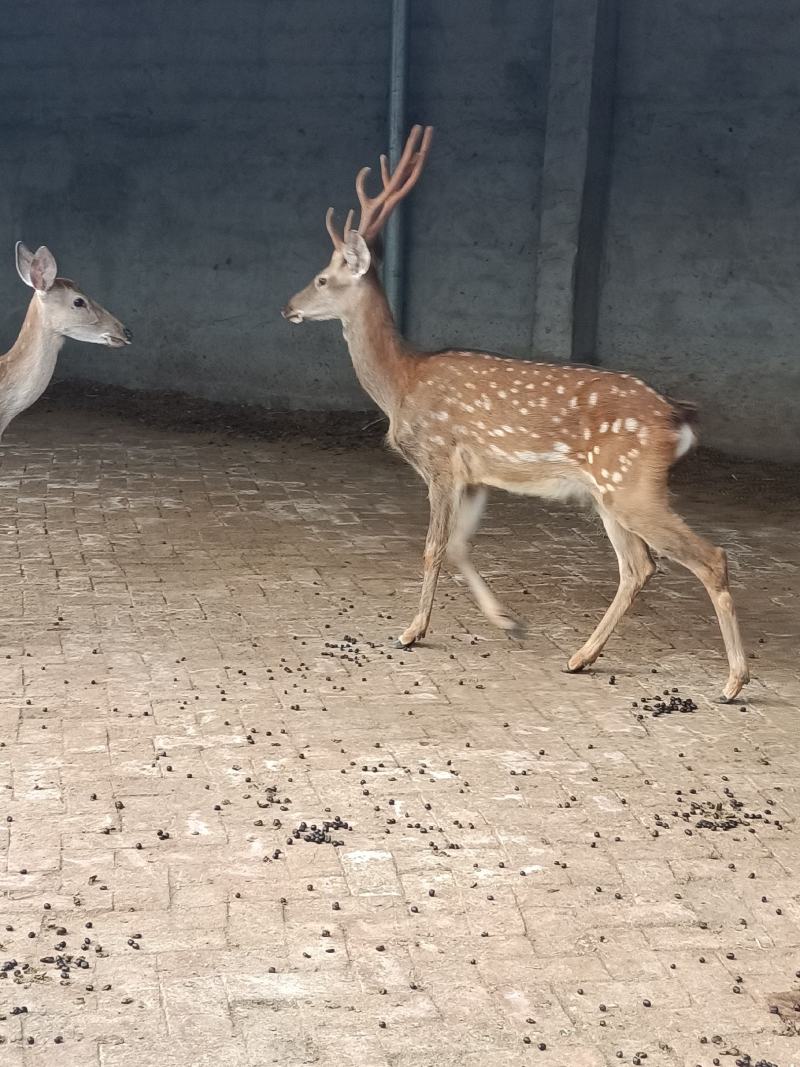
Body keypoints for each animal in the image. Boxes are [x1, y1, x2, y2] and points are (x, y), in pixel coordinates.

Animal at [281, 126, 749, 703]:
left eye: (323, 278)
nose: (288, 306)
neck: (400, 384)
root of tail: (675, 419)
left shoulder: (440, 460)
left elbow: (433, 547)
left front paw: (411, 631)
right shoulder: (478, 475)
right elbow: (460, 546)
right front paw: (509, 622)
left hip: (631, 484)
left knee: (708, 558)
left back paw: (732, 682)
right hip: (609, 494)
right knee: (639, 566)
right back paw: (580, 657)